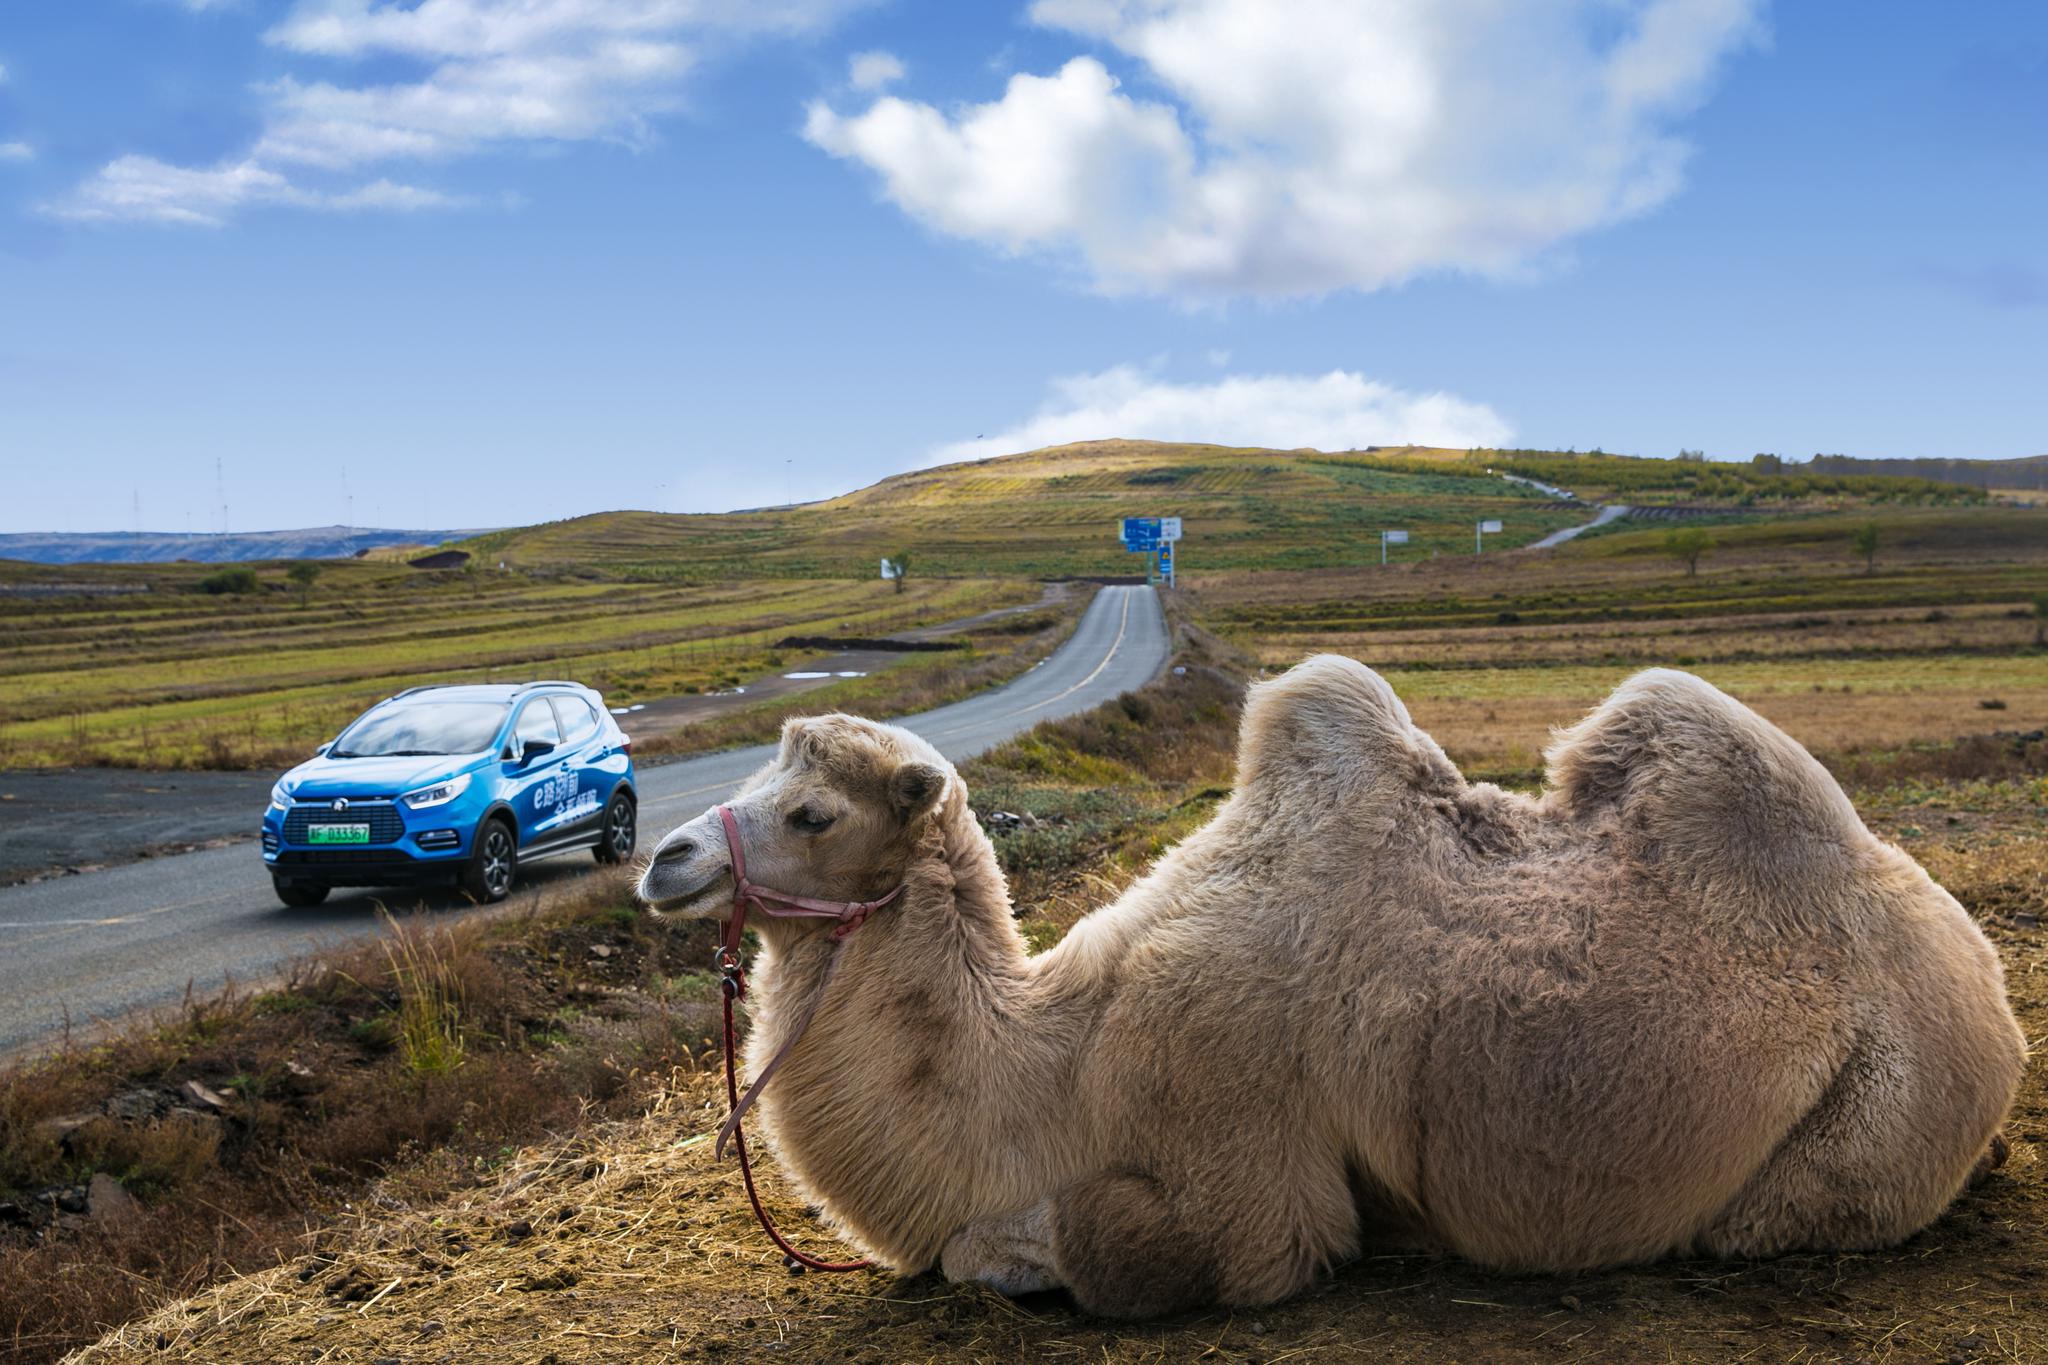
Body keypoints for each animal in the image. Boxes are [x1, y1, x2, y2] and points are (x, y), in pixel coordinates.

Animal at [643, 654, 2031, 1317]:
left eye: (812, 812)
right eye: (763, 780)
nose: (664, 856)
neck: (1059, 1064)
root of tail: (1982, 978)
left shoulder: (1245, 1191)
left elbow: (1078, 1249)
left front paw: (1010, 1254)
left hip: (1864, 1125)